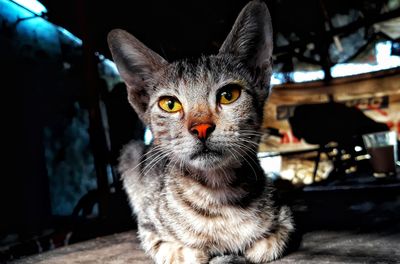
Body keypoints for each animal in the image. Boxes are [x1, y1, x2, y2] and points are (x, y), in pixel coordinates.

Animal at [106, 1, 294, 262]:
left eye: (228, 95)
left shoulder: (284, 218)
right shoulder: (148, 226)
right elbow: (184, 253)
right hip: (131, 152)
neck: (219, 194)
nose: (201, 128)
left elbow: (271, 243)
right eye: (170, 104)